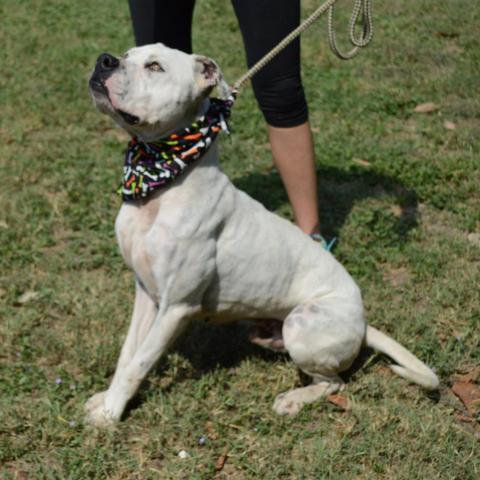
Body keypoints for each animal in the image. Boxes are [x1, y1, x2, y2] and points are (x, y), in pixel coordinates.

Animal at [86, 44, 438, 428]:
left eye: (155, 67)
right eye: (127, 54)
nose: (104, 60)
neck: (160, 178)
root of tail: (362, 323)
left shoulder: (177, 306)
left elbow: (141, 361)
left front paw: (110, 415)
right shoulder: (147, 293)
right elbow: (128, 354)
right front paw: (106, 401)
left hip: (302, 324)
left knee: (335, 383)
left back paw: (294, 400)